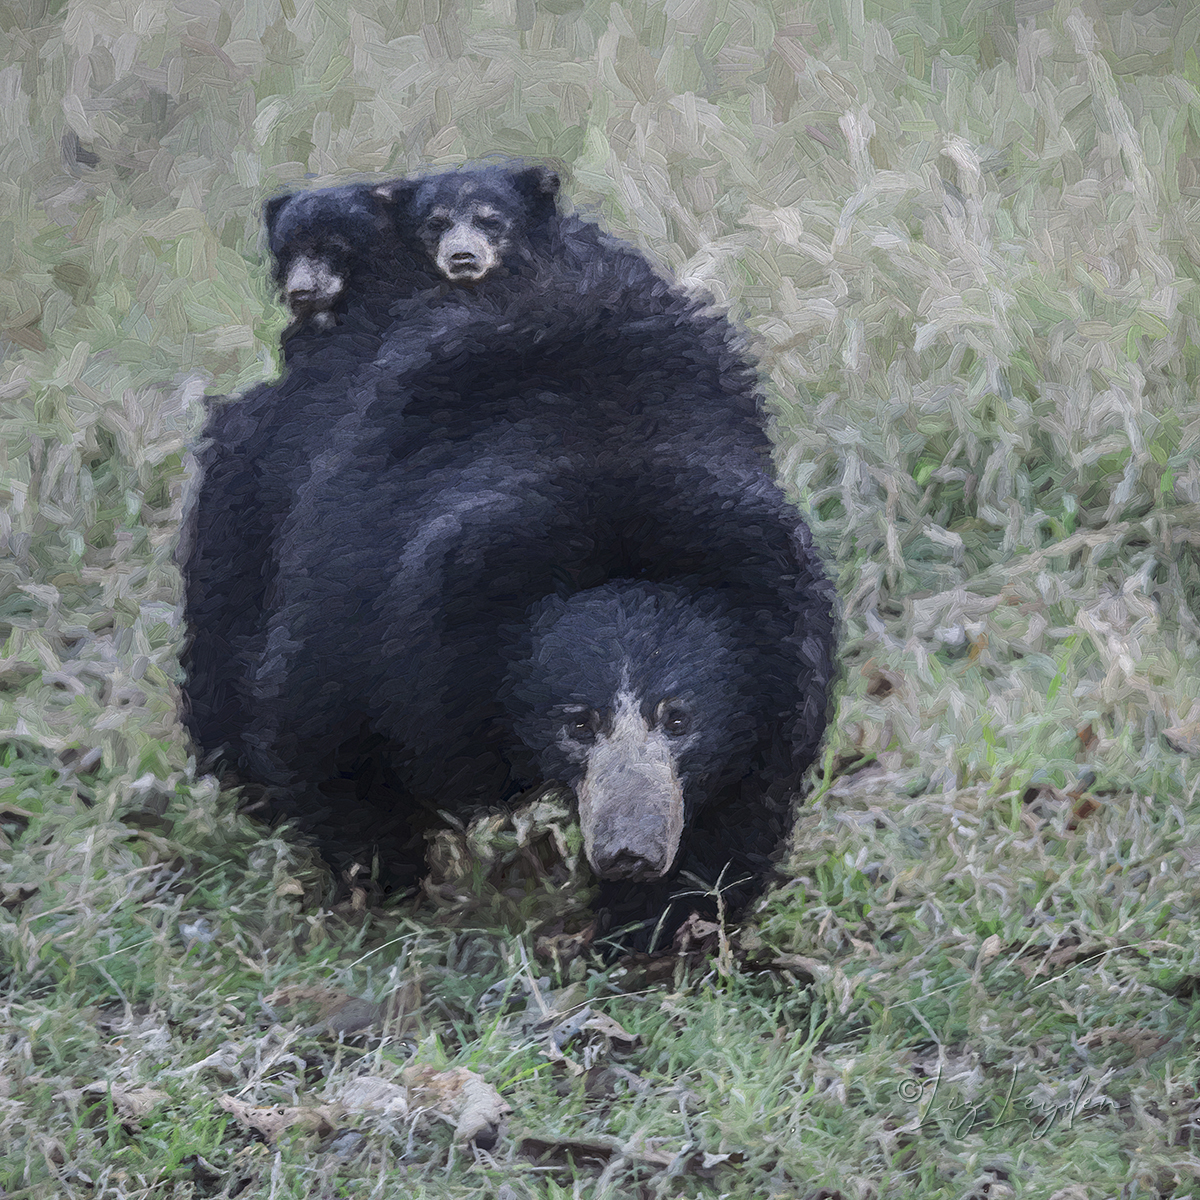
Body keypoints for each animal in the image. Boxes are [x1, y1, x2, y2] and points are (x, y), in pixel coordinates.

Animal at [182, 164, 835, 950]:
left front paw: (660, 931)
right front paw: (386, 890)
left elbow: (738, 803)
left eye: (679, 718)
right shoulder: (373, 600)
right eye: (577, 721)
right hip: (239, 516)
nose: (631, 850)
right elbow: (326, 728)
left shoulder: (776, 662)